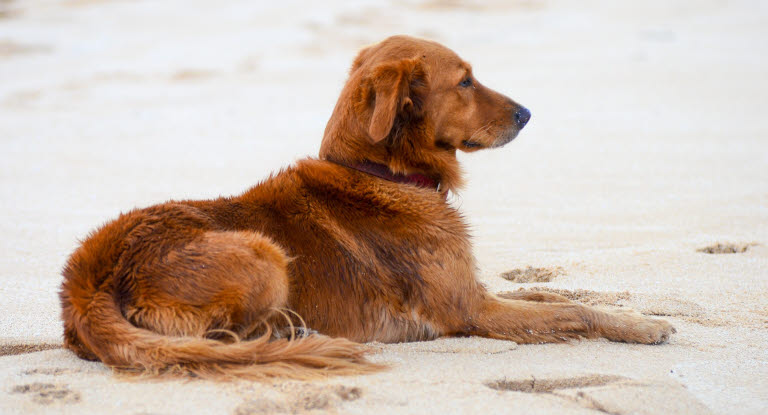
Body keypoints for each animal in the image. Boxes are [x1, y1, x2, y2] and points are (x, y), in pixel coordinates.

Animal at [58, 35, 672, 380]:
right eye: (466, 81)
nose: (527, 113)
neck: (382, 172)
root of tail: (85, 282)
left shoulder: (477, 290)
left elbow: (555, 295)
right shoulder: (471, 310)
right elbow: (574, 313)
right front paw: (641, 325)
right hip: (263, 252)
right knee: (214, 338)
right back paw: (288, 336)